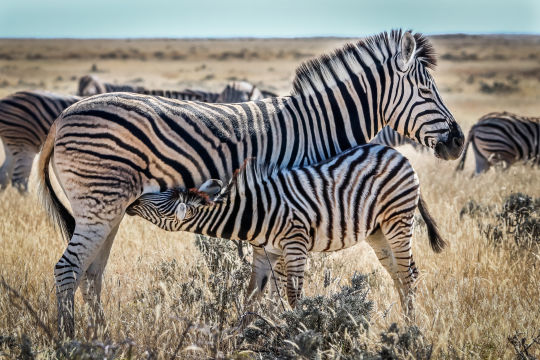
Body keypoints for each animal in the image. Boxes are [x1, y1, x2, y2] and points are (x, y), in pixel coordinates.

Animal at [127, 143, 448, 316]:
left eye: (162, 203)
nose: (132, 202)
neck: (253, 213)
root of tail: (398, 154)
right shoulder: (266, 252)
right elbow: (253, 295)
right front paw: (242, 337)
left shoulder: (295, 245)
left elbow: (293, 296)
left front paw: (296, 332)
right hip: (377, 231)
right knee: (399, 274)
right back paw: (405, 320)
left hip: (397, 220)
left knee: (409, 274)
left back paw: (412, 328)